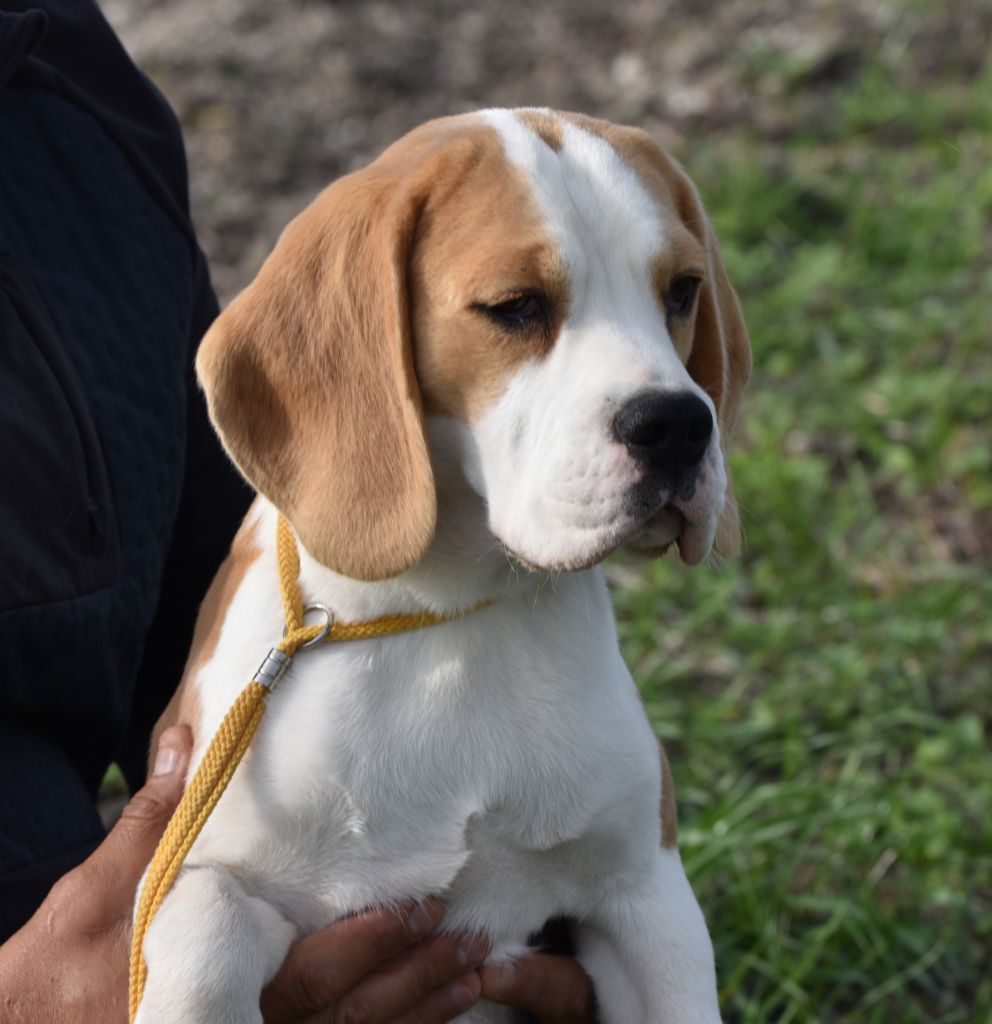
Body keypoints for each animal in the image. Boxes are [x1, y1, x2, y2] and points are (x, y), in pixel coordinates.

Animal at [135, 108, 745, 1019]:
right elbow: (203, 938)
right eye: (515, 307)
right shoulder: (198, 867)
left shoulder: (644, 891)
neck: (449, 612)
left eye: (681, 292)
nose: (677, 424)